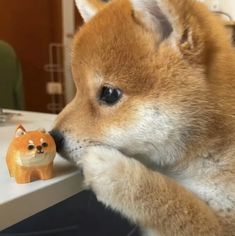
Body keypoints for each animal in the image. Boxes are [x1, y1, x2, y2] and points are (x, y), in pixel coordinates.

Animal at [52, 0, 235, 234]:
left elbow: (178, 204)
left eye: (109, 94)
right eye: (77, 90)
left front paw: (116, 171)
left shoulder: (225, 224)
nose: (53, 137)